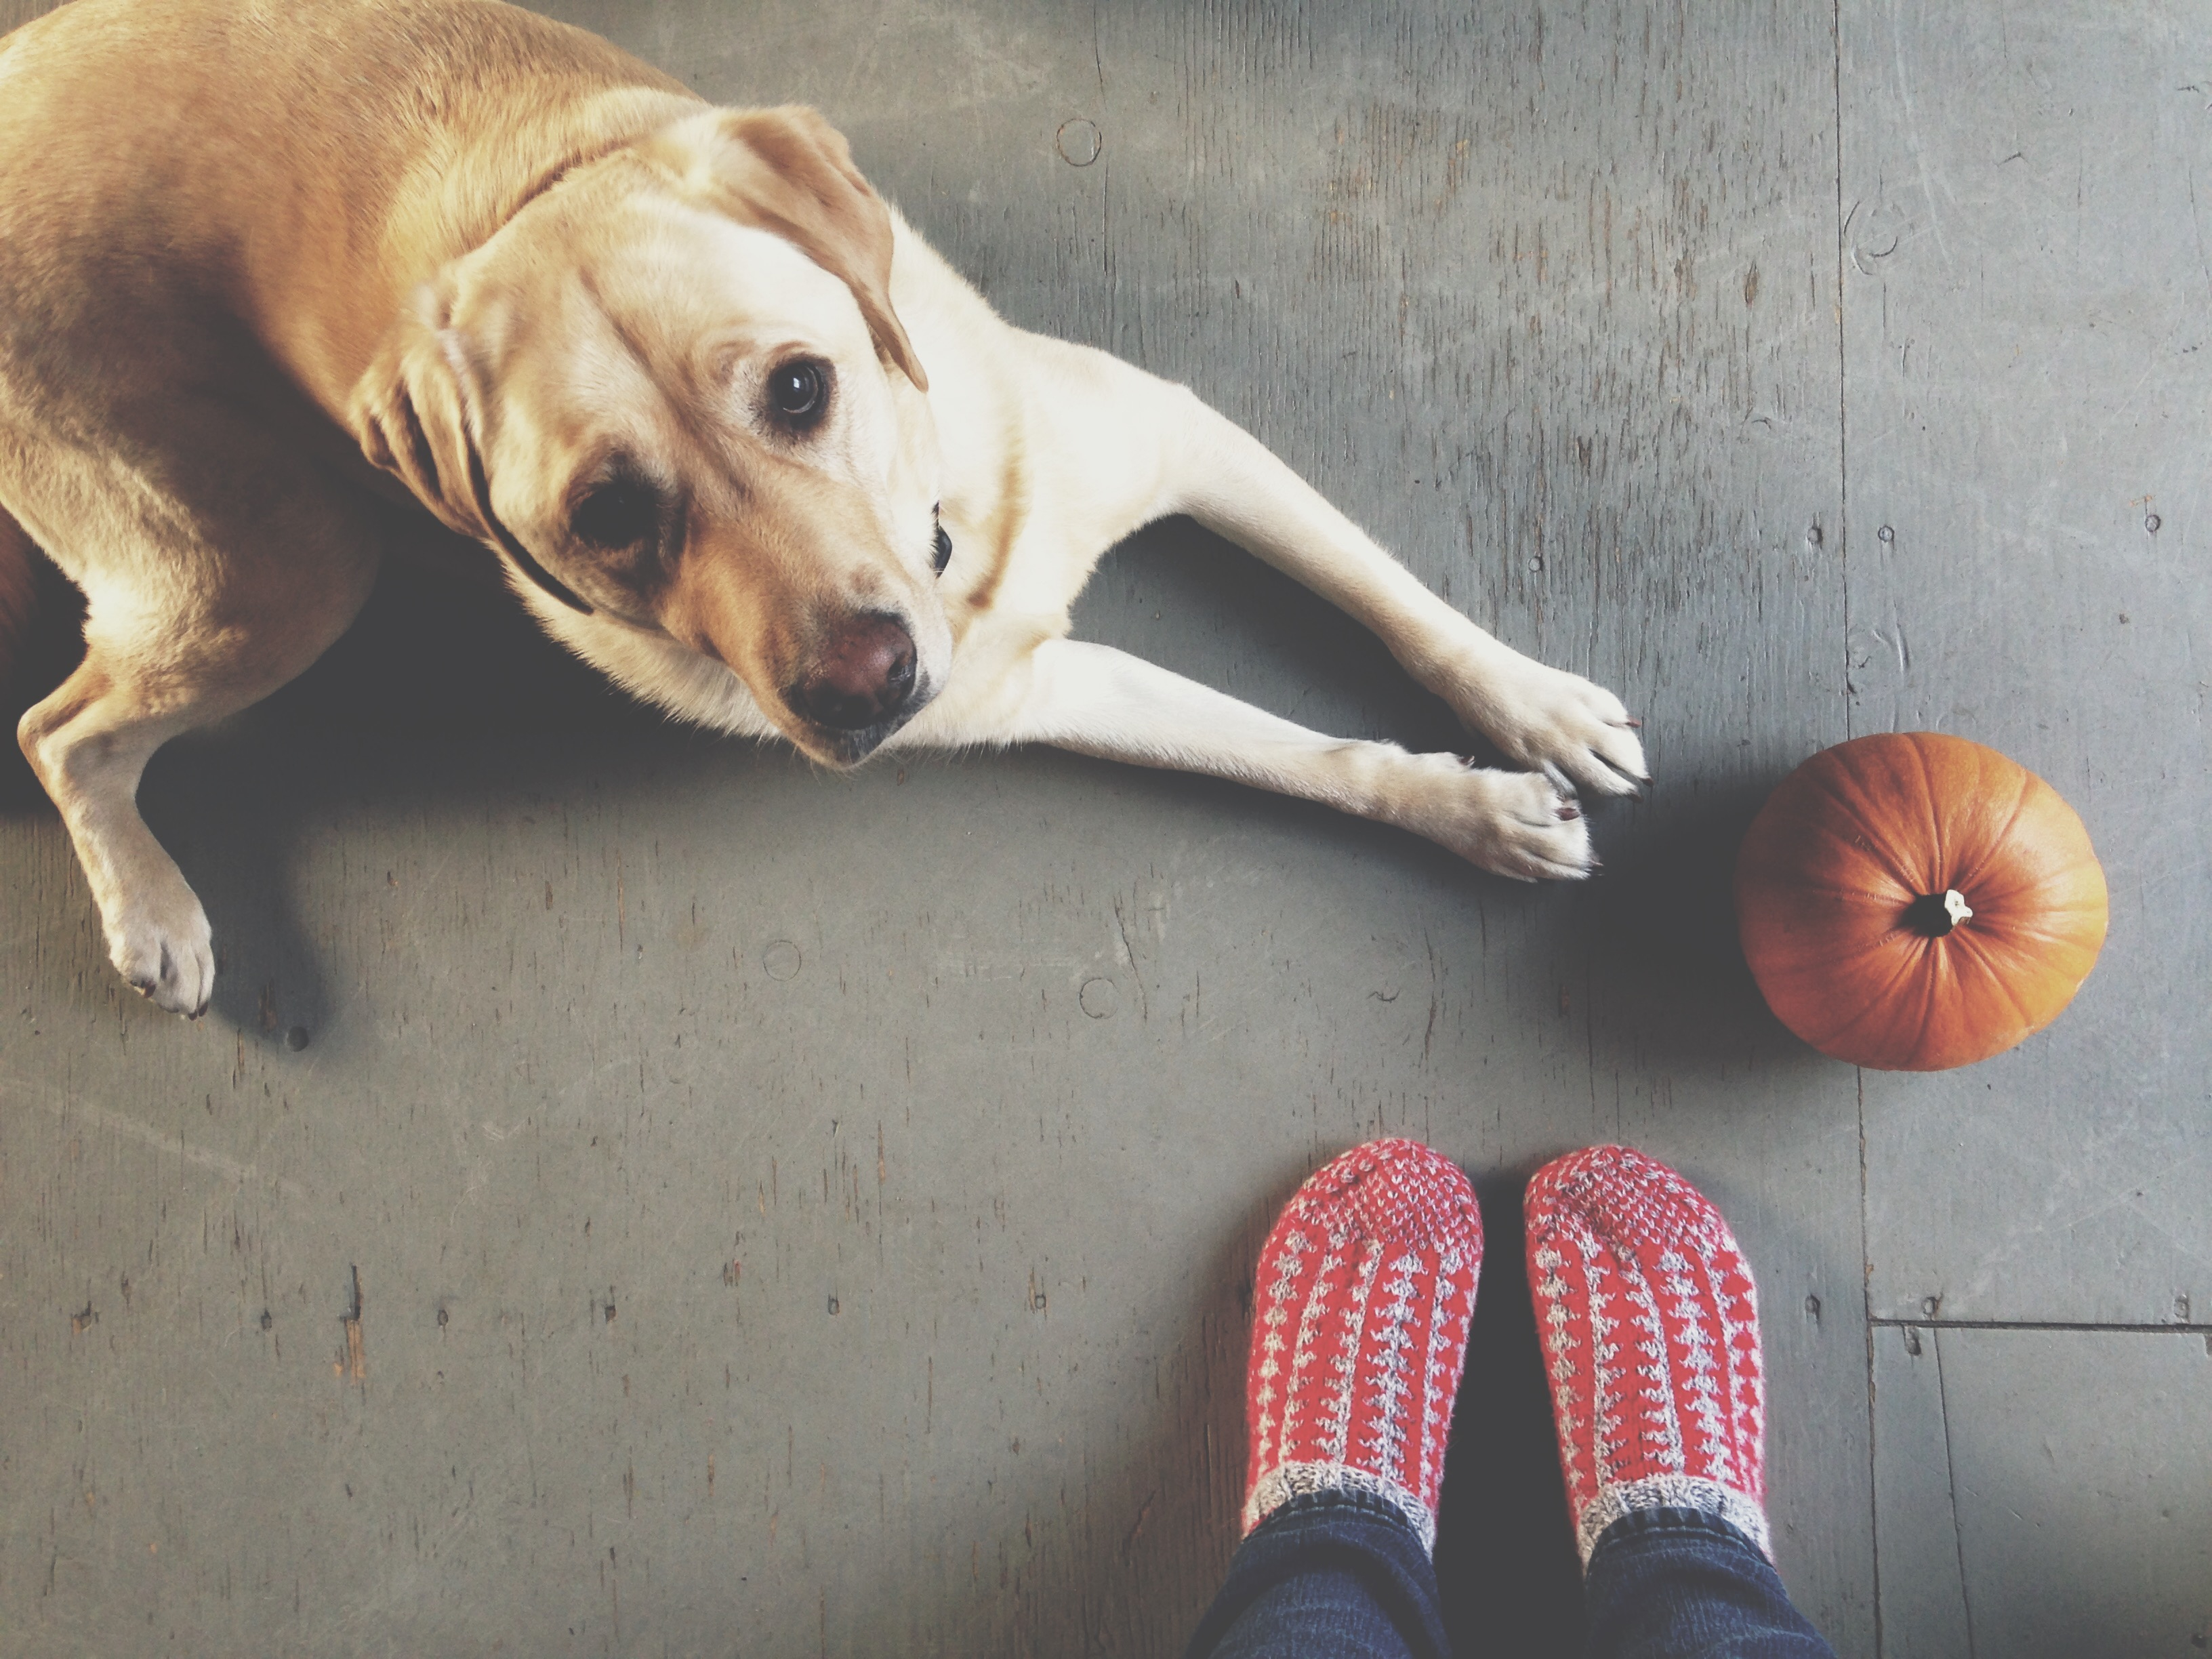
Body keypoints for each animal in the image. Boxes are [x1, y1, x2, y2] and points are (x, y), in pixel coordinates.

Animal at [0, 0, 1646, 1019]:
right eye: (604, 514)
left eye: (800, 388)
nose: (866, 691)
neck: (955, 536)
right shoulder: (1043, 687)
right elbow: (1297, 753)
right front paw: (1469, 805)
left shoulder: (1179, 437)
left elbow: (1392, 607)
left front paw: (1526, 719)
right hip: (280, 562)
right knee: (61, 731)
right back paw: (152, 910)